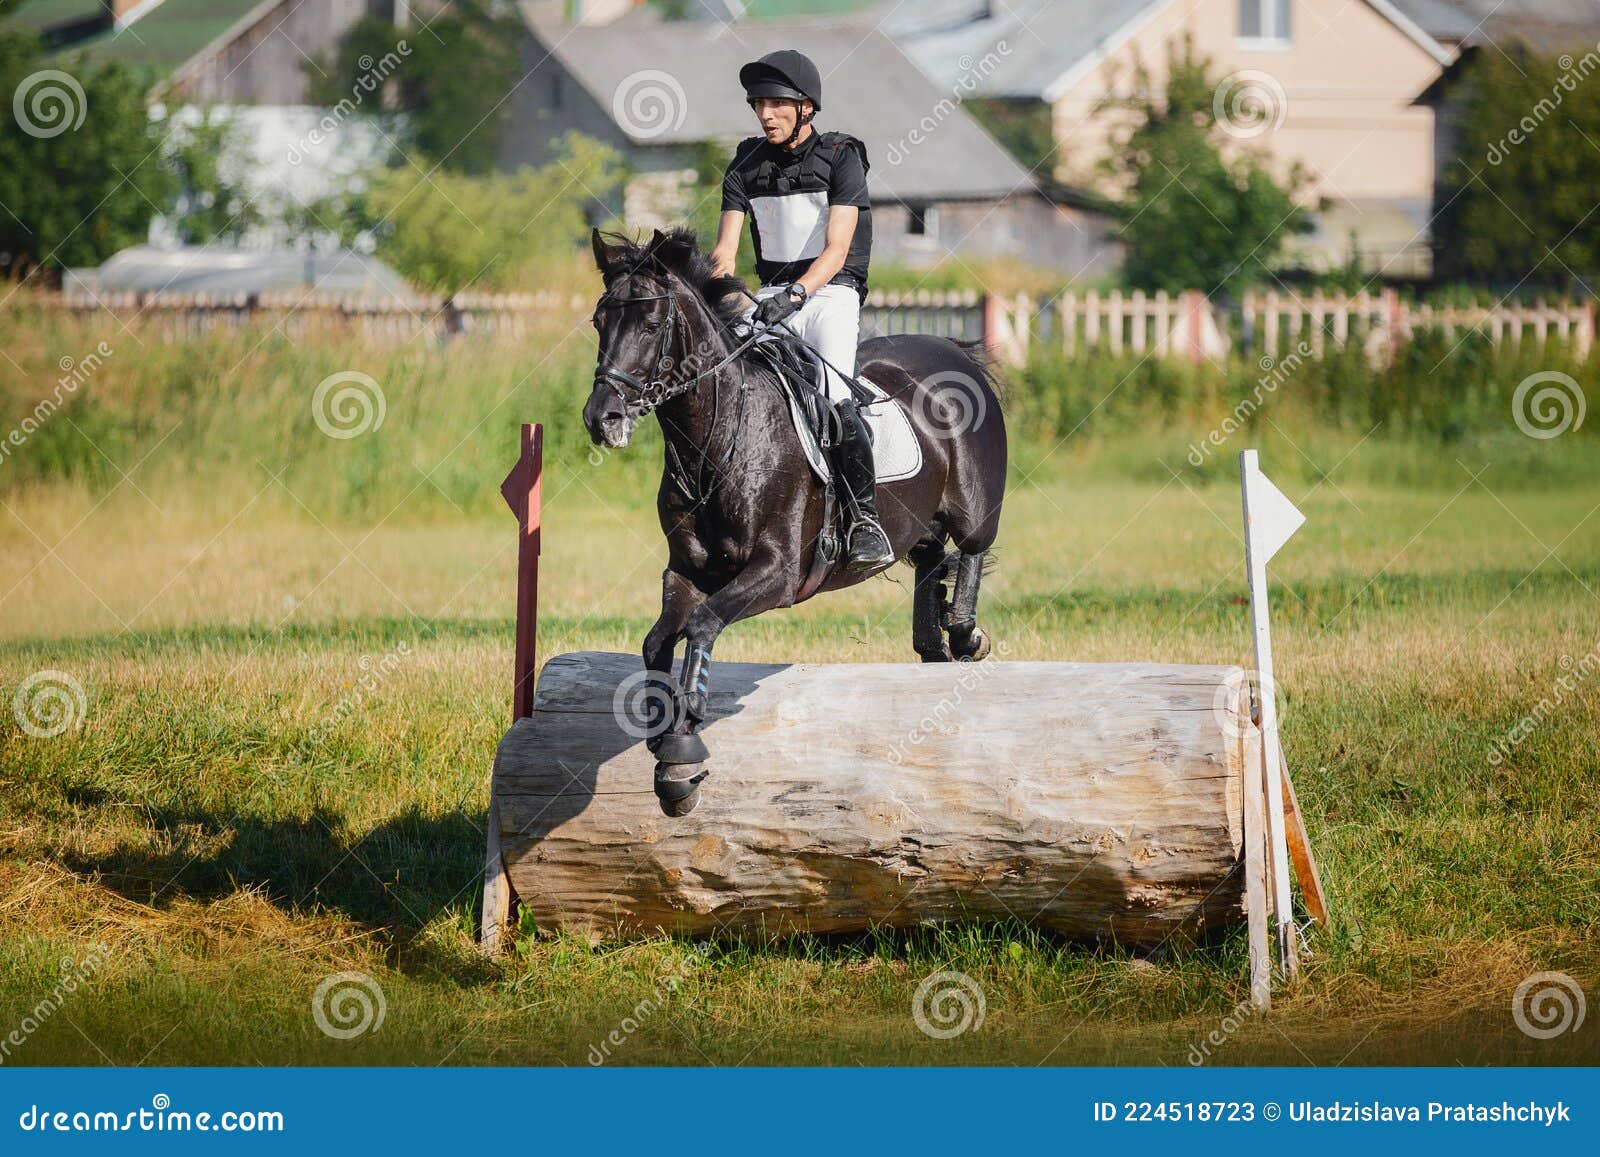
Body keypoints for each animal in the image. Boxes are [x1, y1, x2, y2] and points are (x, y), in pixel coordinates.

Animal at [588, 228, 1004, 816]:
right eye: (599, 321)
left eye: (650, 324)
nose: (602, 418)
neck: (715, 442)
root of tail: (951, 350)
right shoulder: (687, 572)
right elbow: (655, 643)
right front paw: (661, 738)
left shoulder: (779, 573)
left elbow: (702, 626)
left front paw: (682, 750)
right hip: (917, 525)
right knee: (929, 559)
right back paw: (933, 642)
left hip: (973, 505)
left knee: (971, 548)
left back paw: (965, 634)